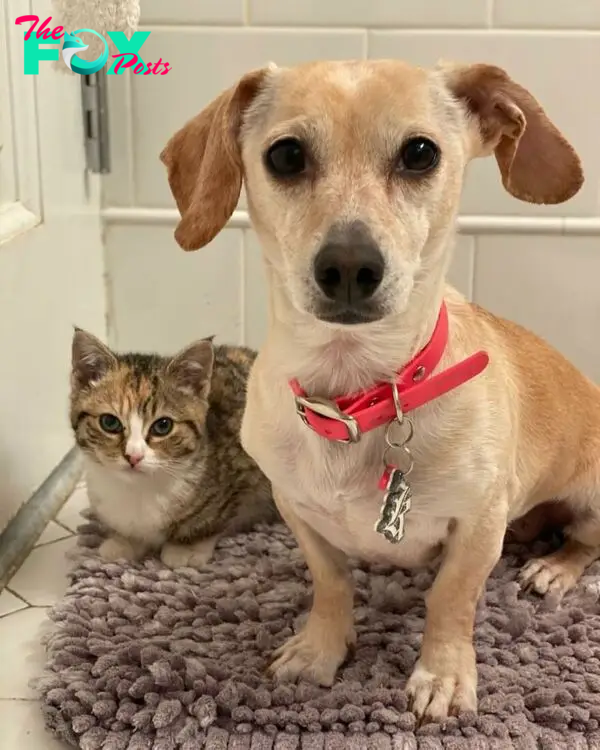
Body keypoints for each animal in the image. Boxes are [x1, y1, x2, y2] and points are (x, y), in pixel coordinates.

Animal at [70, 332, 276, 568]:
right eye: (109, 422)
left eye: (163, 426)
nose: (134, 456)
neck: (138, 489)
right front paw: (125, 542)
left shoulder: (247, 464)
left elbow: (215, 518)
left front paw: (186, 548)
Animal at [161, 60, 600, 724]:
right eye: (286, 155)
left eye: (420, 153)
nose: (348, 266)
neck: (357, 396)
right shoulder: (297, 510)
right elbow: (331, 582)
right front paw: (320, 650)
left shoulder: (478, 527)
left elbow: (451, 599)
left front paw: (442, 676)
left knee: (584, 541)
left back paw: (553, 568)